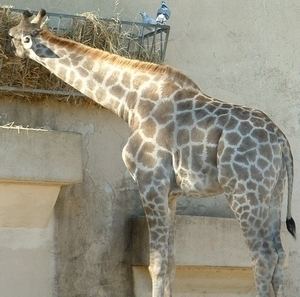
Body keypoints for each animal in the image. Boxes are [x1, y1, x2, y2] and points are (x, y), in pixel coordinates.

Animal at [8, 9, 296, 296]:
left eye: (13, 36)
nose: (9, 49)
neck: (130, 102)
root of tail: (281, 141)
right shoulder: (171, 193)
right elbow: (170, 263)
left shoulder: (150, 181)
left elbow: (155, 264)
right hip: (272, 194)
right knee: (281, 257)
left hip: (244, 191)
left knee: (263, 257)